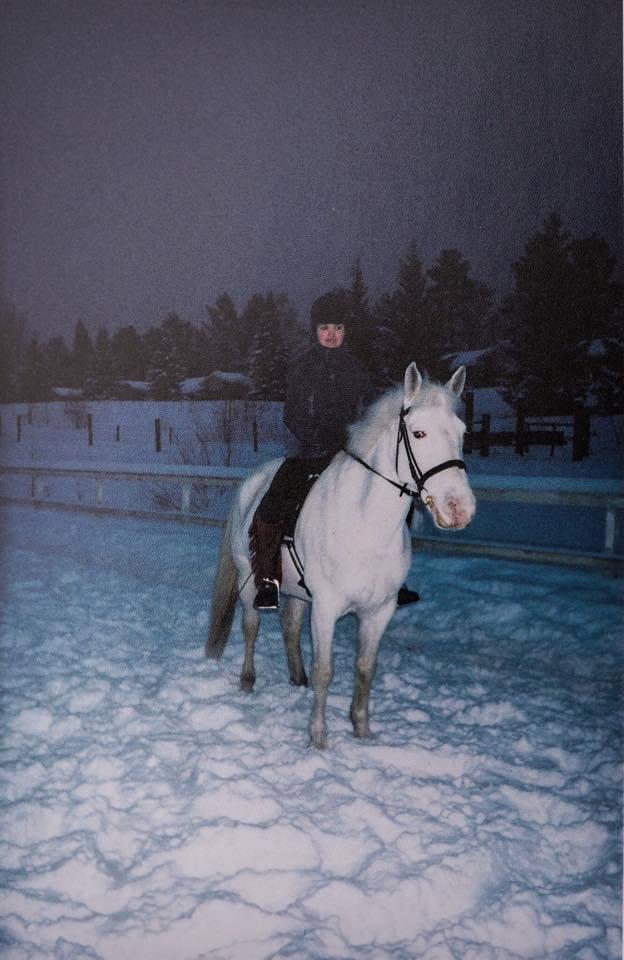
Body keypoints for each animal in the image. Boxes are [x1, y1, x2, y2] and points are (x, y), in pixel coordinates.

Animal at [206, 362, 476, 748]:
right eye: (419, 433)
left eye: (462, 433)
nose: (459, 509)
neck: (365, 522)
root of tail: (251, 482)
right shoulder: (327, 607)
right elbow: (326, 670)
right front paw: (318, 737)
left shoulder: (378, 612)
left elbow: (365, 669)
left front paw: (361, 729)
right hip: (249, 582)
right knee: (251, 627)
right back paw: (248, 680)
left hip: (297, 591)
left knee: (290, 626)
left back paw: (297, 678)